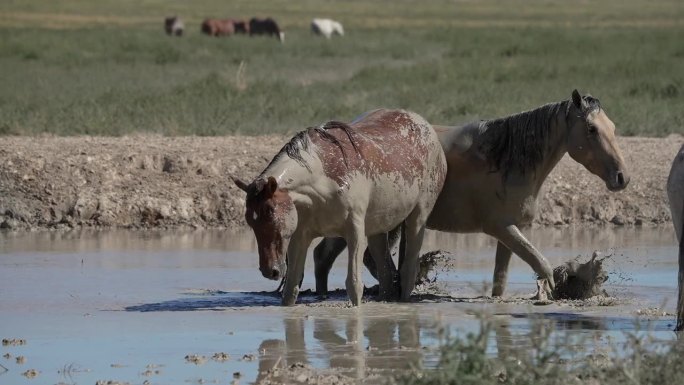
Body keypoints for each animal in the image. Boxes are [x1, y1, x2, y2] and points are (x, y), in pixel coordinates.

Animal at [235, 109, 446, 306]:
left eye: (270, 213)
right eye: (250, 221)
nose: (270, 270)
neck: (322, 177)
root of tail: (427, 127)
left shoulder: (355, 233)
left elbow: (354, 285)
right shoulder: (300, 236)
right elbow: (291, 289)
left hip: (417, 218)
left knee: (408, 268)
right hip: (378, 228)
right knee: (384, 268)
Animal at [312, 91, 628, 300]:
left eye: (613, 128)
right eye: (591, 129)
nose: (622, 177)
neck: (506, 159)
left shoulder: (510, 231)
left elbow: (501, 280)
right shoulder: (501, 227)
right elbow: (542, 264)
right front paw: (552, 290)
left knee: (325, 255)